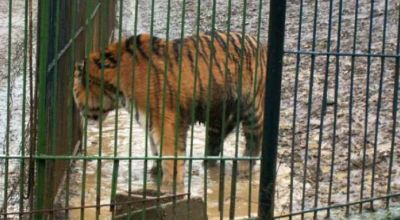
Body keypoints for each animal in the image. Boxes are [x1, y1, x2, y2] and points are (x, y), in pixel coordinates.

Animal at [73, 30, 268, 190]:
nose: (82, 114)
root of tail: (259, 43)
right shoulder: (150, 121)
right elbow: (156, 150)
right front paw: (154, 174)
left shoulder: (166, 120)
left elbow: (170, 155)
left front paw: (170, 186)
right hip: (218, 118)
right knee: (214, 144)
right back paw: (207, 167)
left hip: (252, 107)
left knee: (255, 139)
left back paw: (244, 169)